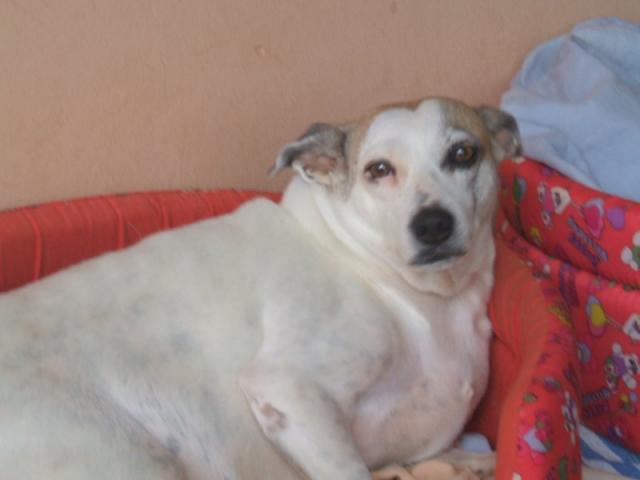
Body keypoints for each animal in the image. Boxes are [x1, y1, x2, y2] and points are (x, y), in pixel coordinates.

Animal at [0, 97, 520, 479]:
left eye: (463, 154)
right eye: (378, 170)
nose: (432, 225)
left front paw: (473, 462)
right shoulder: (290, 388)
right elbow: (351, 469)